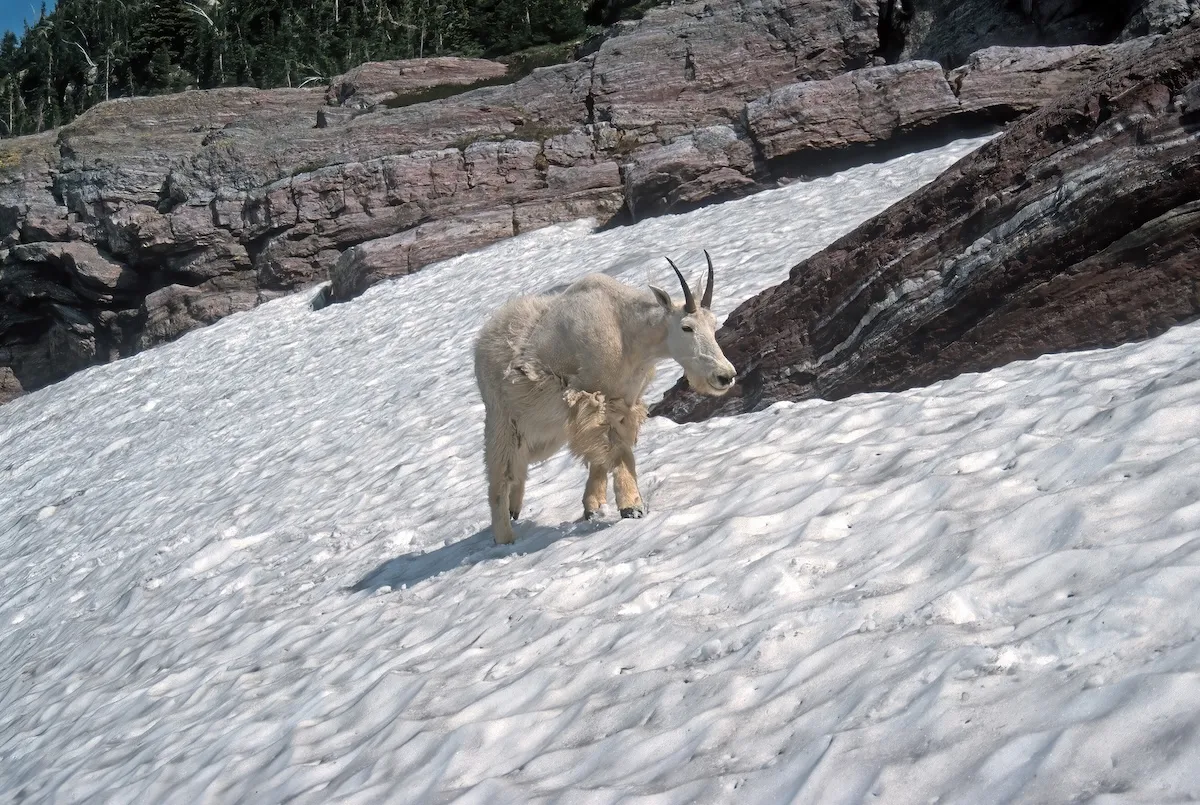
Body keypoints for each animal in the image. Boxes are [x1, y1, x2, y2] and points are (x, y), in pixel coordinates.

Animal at [473, 253, 736, 544]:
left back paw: (515, 509)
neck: (628, 332)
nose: (725, 376)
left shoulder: (621, 402)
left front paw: (595, 506)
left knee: (520, 465)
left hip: (545, 430)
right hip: (503, 419)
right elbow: (616, 450)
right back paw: (504, 536)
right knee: (500, 474)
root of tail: (483, 340)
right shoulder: (591, 399)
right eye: (686, 327)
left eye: (713, 324)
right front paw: (632, 506)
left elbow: (609, 451)